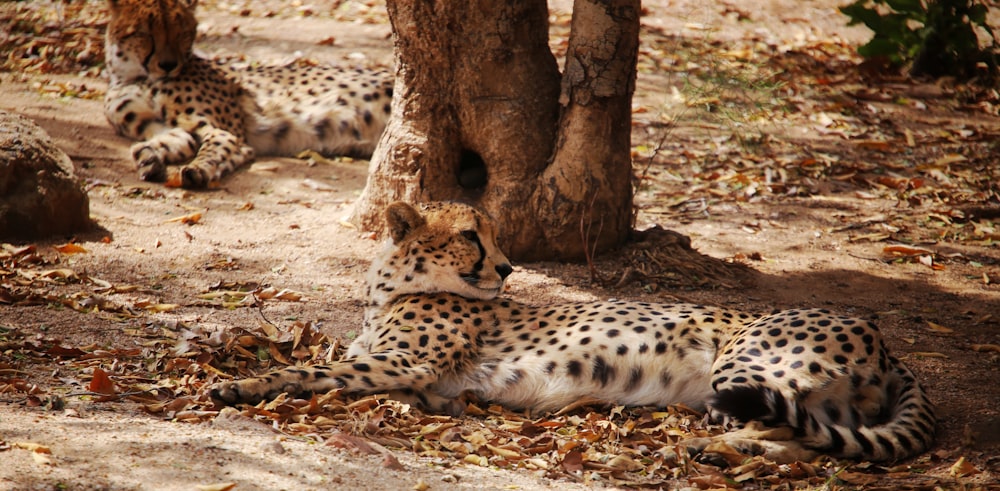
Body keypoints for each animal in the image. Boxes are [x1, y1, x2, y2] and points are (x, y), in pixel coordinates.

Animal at [102, 0, 390, 188]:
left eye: (182, 31)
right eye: (145, 32)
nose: (168, 64)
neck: (133, 76)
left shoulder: (228, 132)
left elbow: (215, 147)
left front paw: (198, 170)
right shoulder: (169, 129)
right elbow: (161, 142)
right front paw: (149, 158)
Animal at [211, 201, 936, 466]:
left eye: (493, 233)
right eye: (471, 234)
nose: (507, 266)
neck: (392, 289)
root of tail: (878, 334)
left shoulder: (402, 366)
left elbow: (308, 370)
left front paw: (239, 385)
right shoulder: (412, 374)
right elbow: (327, 359)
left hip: (745, 368)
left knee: (790, 434)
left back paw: (705, 452)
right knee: (807, 439)